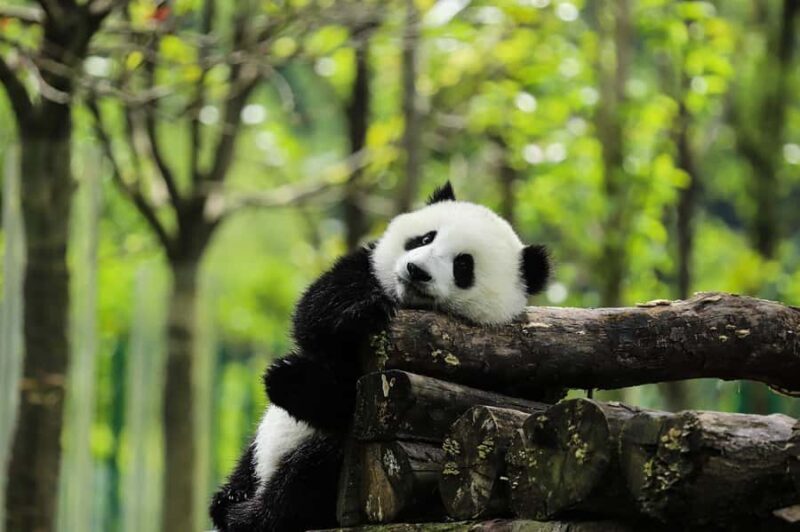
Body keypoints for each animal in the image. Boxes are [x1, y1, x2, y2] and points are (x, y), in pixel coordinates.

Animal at [209, 182, 550, 531]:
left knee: (309, 473)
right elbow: (315, 311)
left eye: (463, 266)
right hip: (256, 452)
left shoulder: (502, 367)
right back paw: (227, 500)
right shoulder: (367, 269)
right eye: (425, 238)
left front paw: (296, 381)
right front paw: (362, 313)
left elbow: (349, 401)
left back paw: (251, 514)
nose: (417, 270)